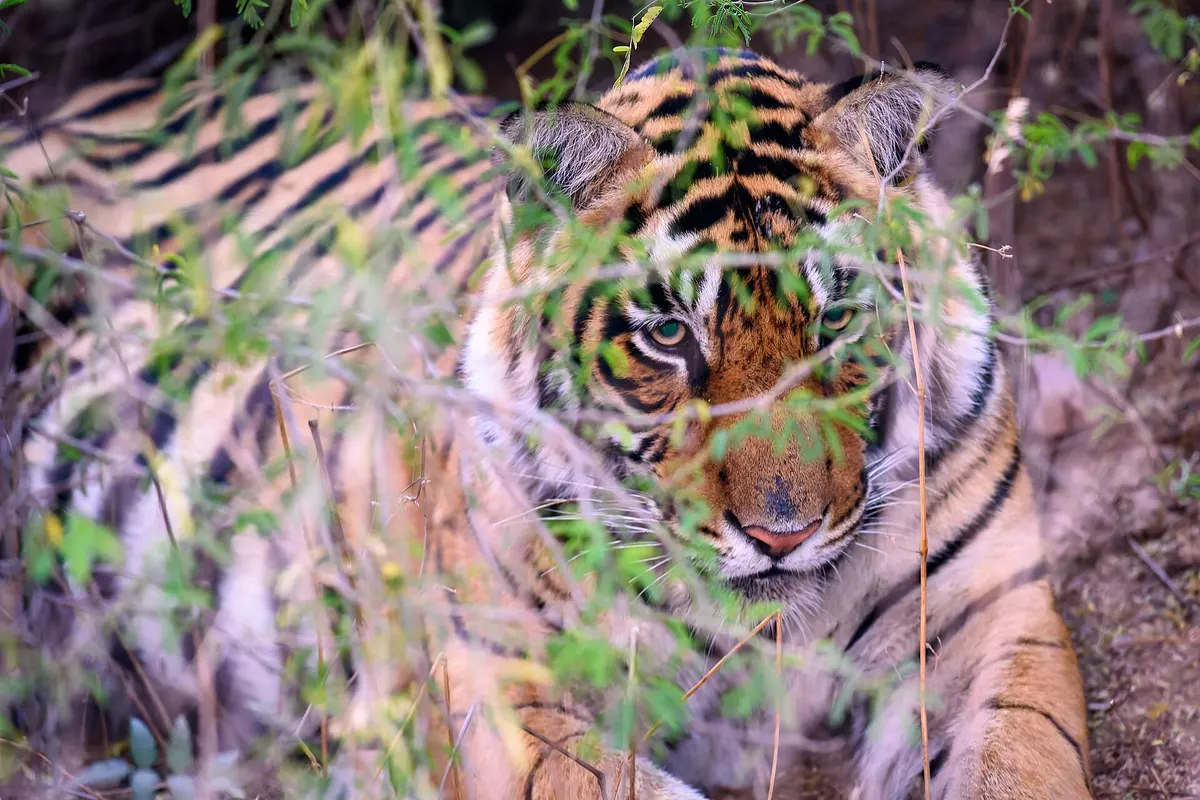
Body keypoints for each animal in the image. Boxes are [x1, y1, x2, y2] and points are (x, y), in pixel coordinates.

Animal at [0, 44, 1093, 799]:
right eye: (670, 334)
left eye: (835, 320)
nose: (781, 535)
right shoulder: (493, 680)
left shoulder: (992, 617)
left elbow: (1024, 760)